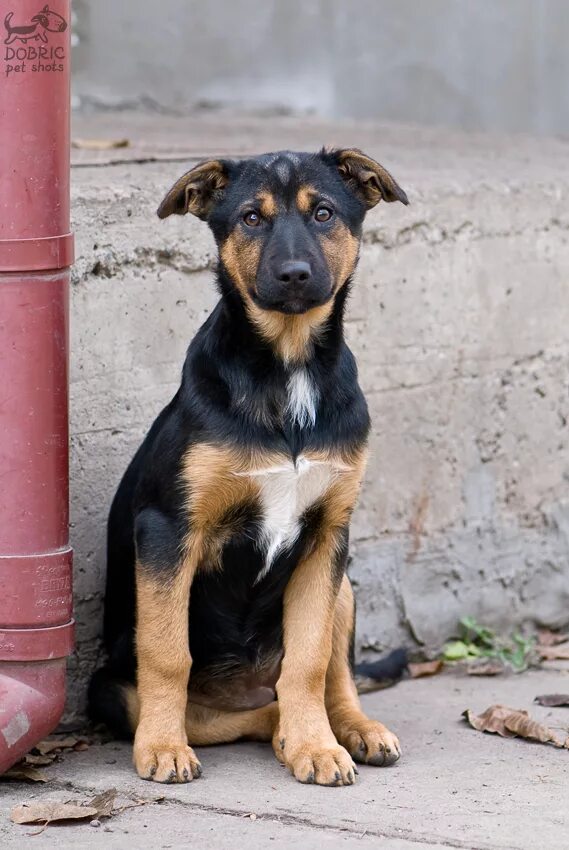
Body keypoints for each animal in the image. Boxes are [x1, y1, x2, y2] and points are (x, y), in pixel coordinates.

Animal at [87, 147, 408, 788]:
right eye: (251, 219)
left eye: (324, 212)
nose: (294, 275)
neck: (288, 365)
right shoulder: (167, 529)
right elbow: (168, 653)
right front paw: (162, 748)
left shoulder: (328, 535)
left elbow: (310, 659)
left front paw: (316, 746)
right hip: (108, 690)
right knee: (241, 717)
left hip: (344, 585)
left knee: (325, 677)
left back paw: (348, 731)